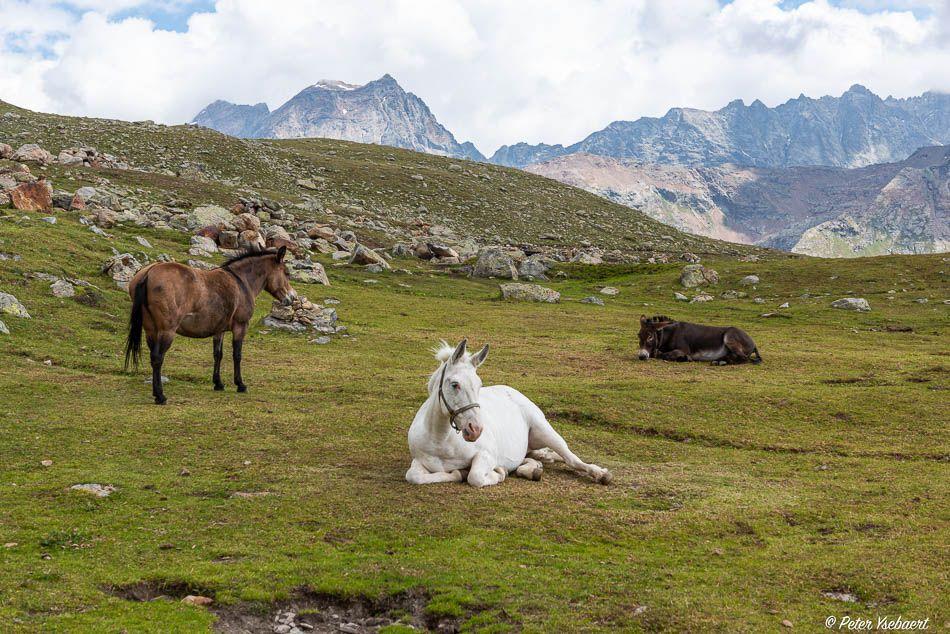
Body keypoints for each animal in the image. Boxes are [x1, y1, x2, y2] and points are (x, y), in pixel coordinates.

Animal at [126, 247, 296, 404]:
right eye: (287, 273)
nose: (292, 298)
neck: (242, 282)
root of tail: (149, 272)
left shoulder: (219, 330)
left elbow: (218, 355)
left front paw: (218, 383)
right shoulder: (240, 327)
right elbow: (237, 355)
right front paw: (240, 384)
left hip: (151, 330)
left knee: (153, 357)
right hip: (166, 331)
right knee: (157, 358)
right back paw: (160, 396)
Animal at [406, 338, 612, 486]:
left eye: (479, 385)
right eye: (455, 384)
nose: (475, 430)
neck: (441, 440)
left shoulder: (486, 455)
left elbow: (475, 477)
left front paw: (498, 473)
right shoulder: (419, 462)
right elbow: (414, 476)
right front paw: (458, 473)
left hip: (545, 431)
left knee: (570, 458)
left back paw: (600, 474)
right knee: (534, 457)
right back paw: (533, 468)